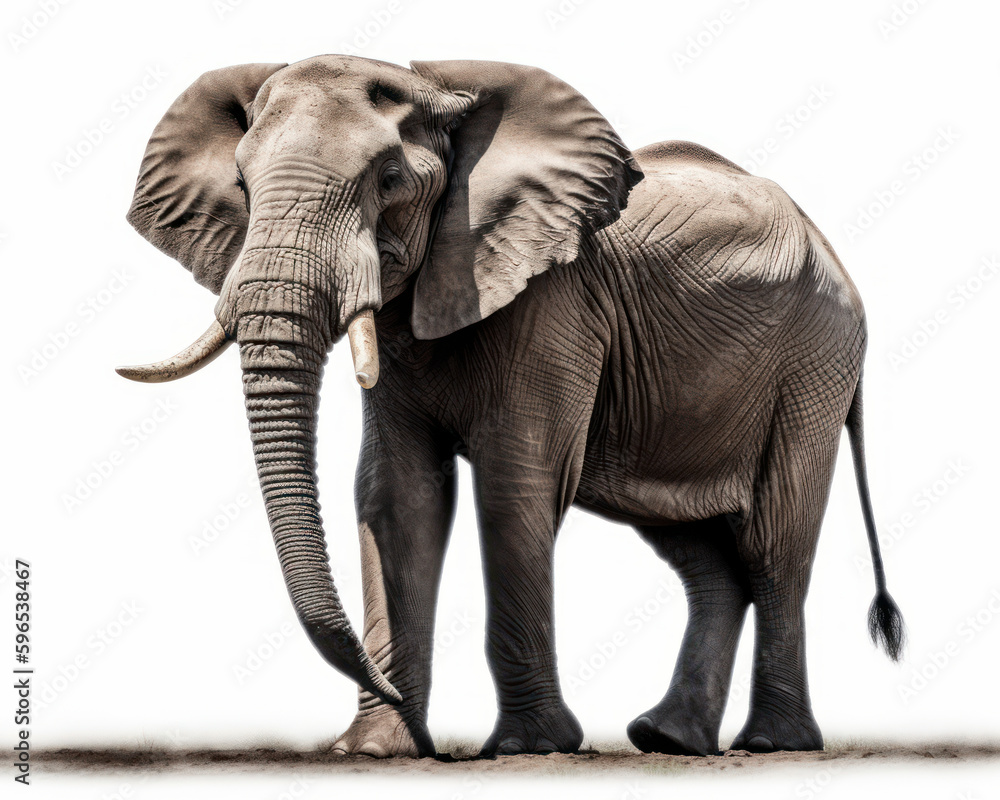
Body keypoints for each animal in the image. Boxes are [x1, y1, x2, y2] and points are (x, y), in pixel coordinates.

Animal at [119, 55, 904, 758]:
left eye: (390, 180)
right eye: (242, 183)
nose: (386, 688)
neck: (441, 94)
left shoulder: (554, 302)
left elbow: (513, 483)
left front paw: (531, 746)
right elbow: (397, 496)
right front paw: (373, 751)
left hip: (814, 361)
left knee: (776, 541)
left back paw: (773, 742)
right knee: (703, 553)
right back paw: (669, 740)